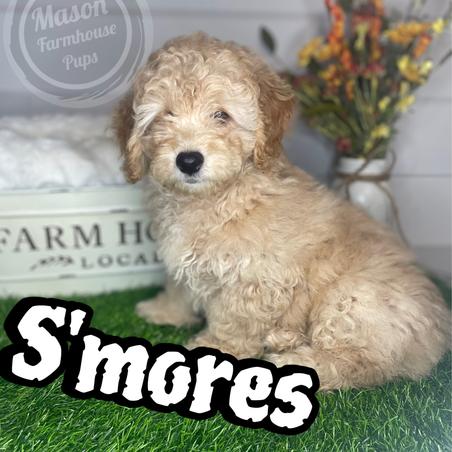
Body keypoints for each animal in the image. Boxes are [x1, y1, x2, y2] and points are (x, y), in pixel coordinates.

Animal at [113, 33, 449, 390]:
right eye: (165, 116)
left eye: (222, 115)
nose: (188, 160)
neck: (215, 197)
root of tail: (436, 340)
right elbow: (178, 285)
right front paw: (164, 310)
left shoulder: (255, 276)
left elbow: (234, 319)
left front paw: (212, 350)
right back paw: (284, 338)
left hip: (354, 300)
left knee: (361, 362)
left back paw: (296, 361)